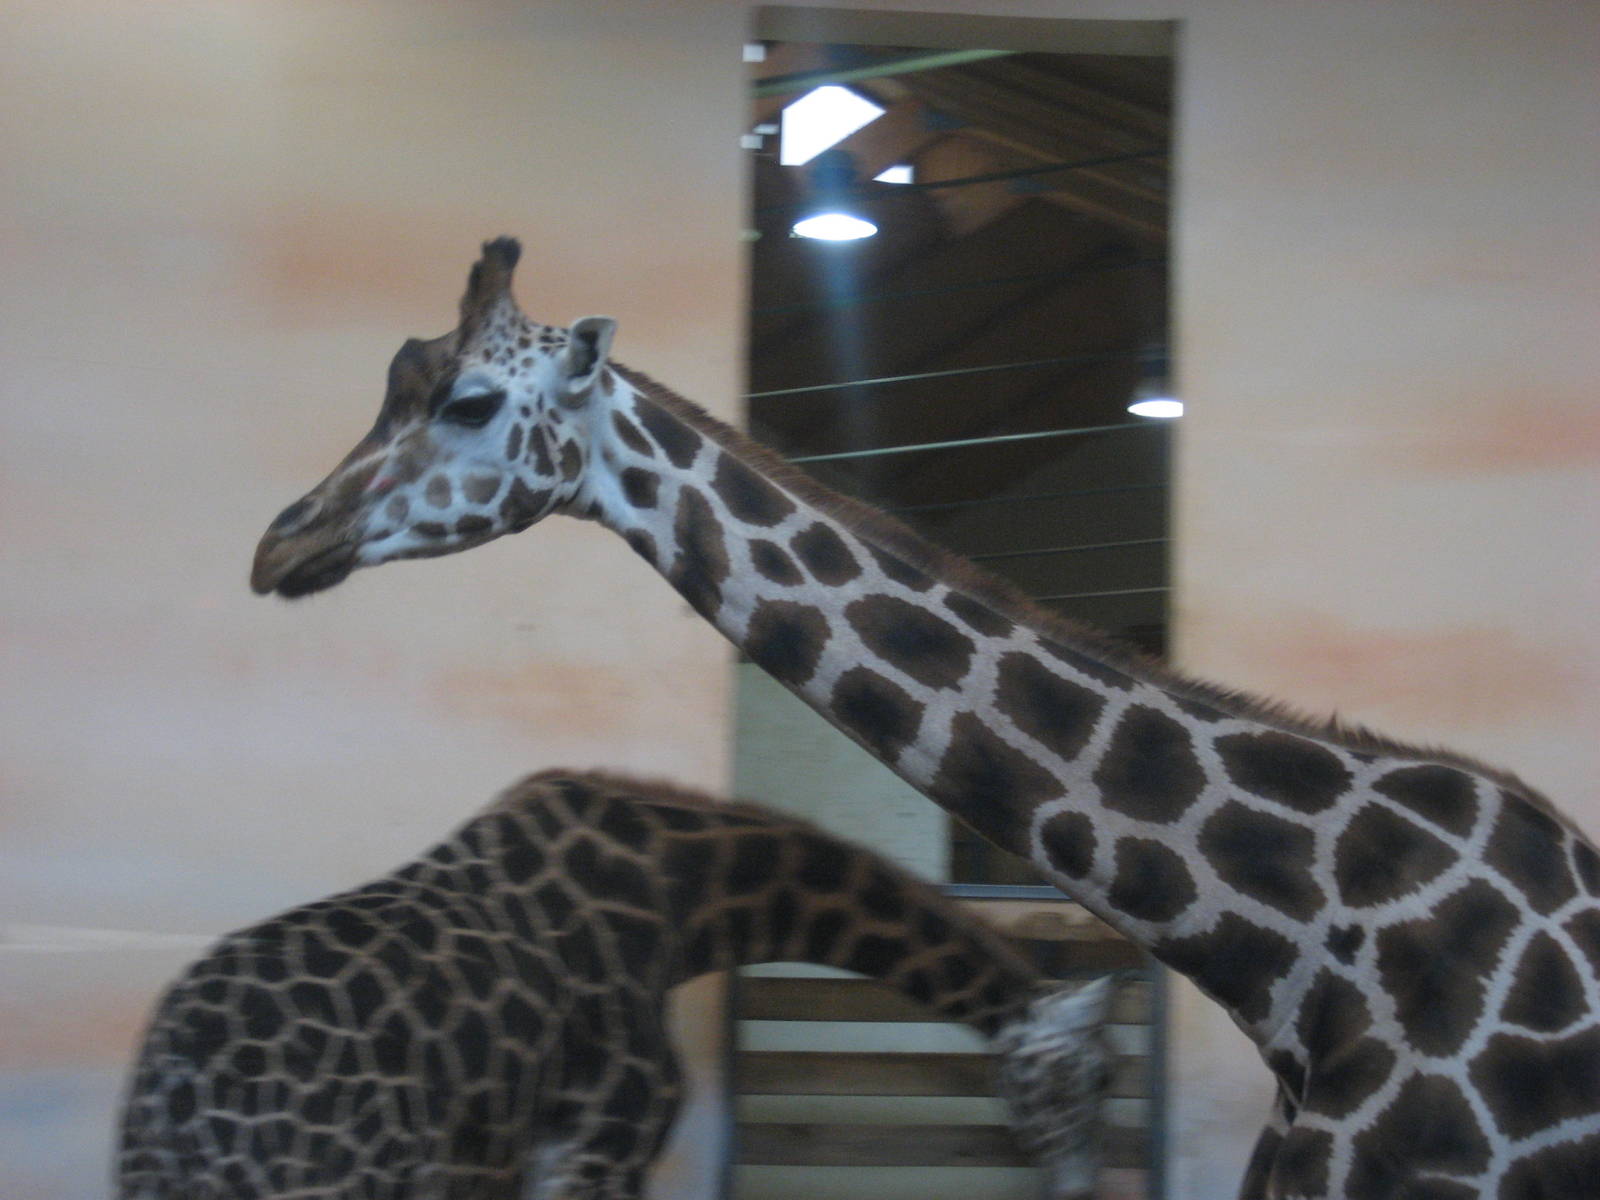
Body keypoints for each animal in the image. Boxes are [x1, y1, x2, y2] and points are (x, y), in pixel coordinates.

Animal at [117, 769, 1113, 1200]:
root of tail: (166, 1081)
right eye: (1086, 1078)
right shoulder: (604, 1148)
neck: (685, 909)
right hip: (322, 1187)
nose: (1084, 1189)